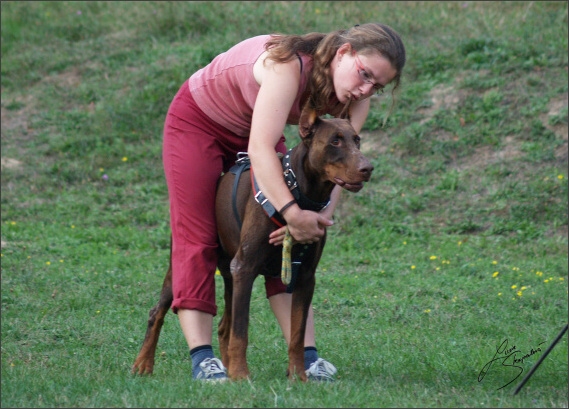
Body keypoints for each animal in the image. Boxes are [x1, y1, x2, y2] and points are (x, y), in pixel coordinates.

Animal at [131, 104, 374, 380]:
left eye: (357, 140)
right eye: (335, 141)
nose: (368, 168)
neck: (294, 191)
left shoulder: (304, 275)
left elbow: (297, 333)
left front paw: (298, 376)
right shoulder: (245, 268)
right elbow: (241, 331)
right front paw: (240, 375)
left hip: (230, 273)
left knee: (224, 325)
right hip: (186, 263)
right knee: (158, 312)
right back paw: (144, 363)